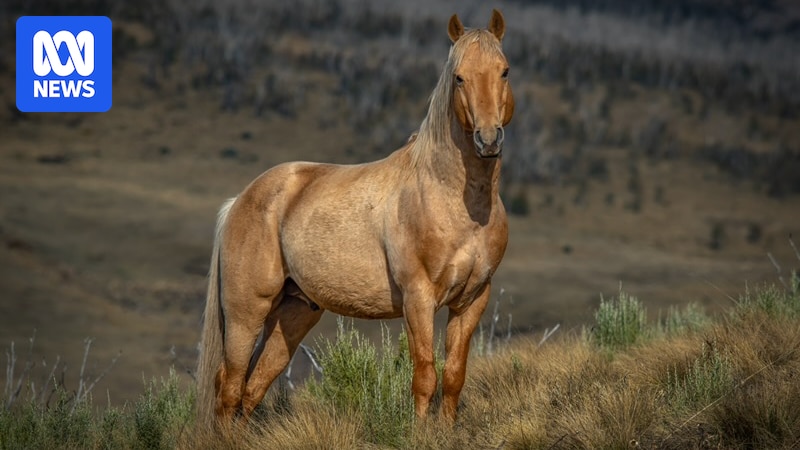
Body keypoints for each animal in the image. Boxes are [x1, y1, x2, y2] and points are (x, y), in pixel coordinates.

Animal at [196, 9, 514, 427]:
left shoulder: (472, 300)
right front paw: (418, 433)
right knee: (230, 387)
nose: (488, 140)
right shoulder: (418, 299)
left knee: (252, 387)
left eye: (504, 71)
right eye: (459, 77)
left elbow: (454, 376)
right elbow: (424, 375)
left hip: (294, 313)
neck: (454, 200)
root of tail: (241, 199)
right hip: (246, 312)